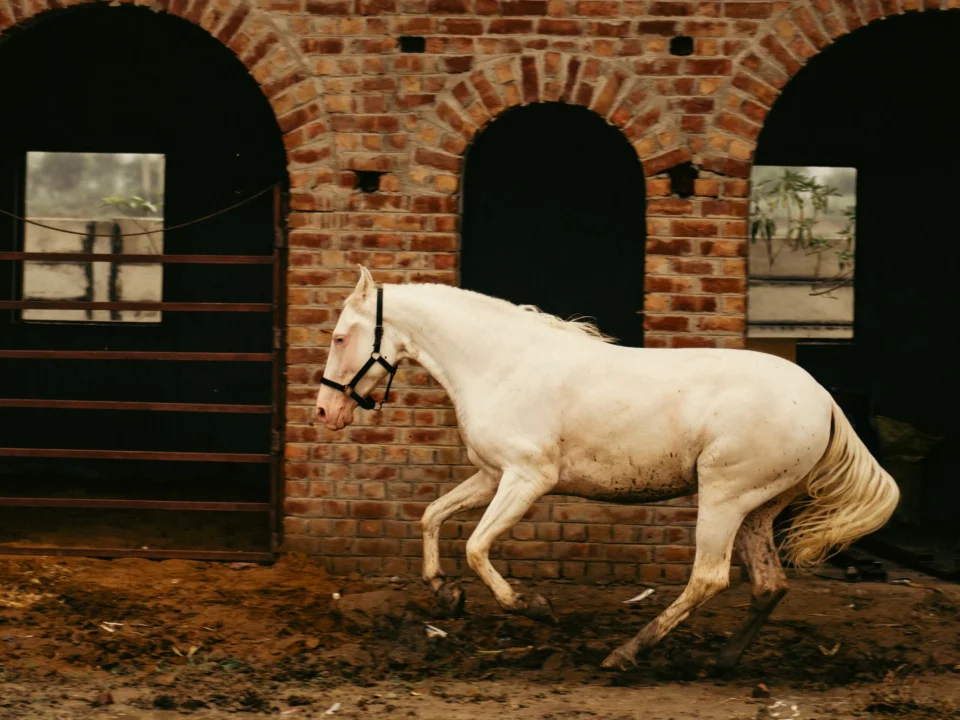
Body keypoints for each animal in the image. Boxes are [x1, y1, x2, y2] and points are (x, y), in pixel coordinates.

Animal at [314, 267, 900, 671]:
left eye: (340, 337)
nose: (325, 412)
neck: (501, 364)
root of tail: (823, 399)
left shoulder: (527, 479)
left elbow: (477, 547)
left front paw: (534, 606)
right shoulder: (491, 475)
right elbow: (432, 516)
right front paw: (446, 593)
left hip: (725, 496)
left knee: (709, 577)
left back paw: (626, 653)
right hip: (760, 507)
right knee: (768, 585)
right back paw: (722, 660)